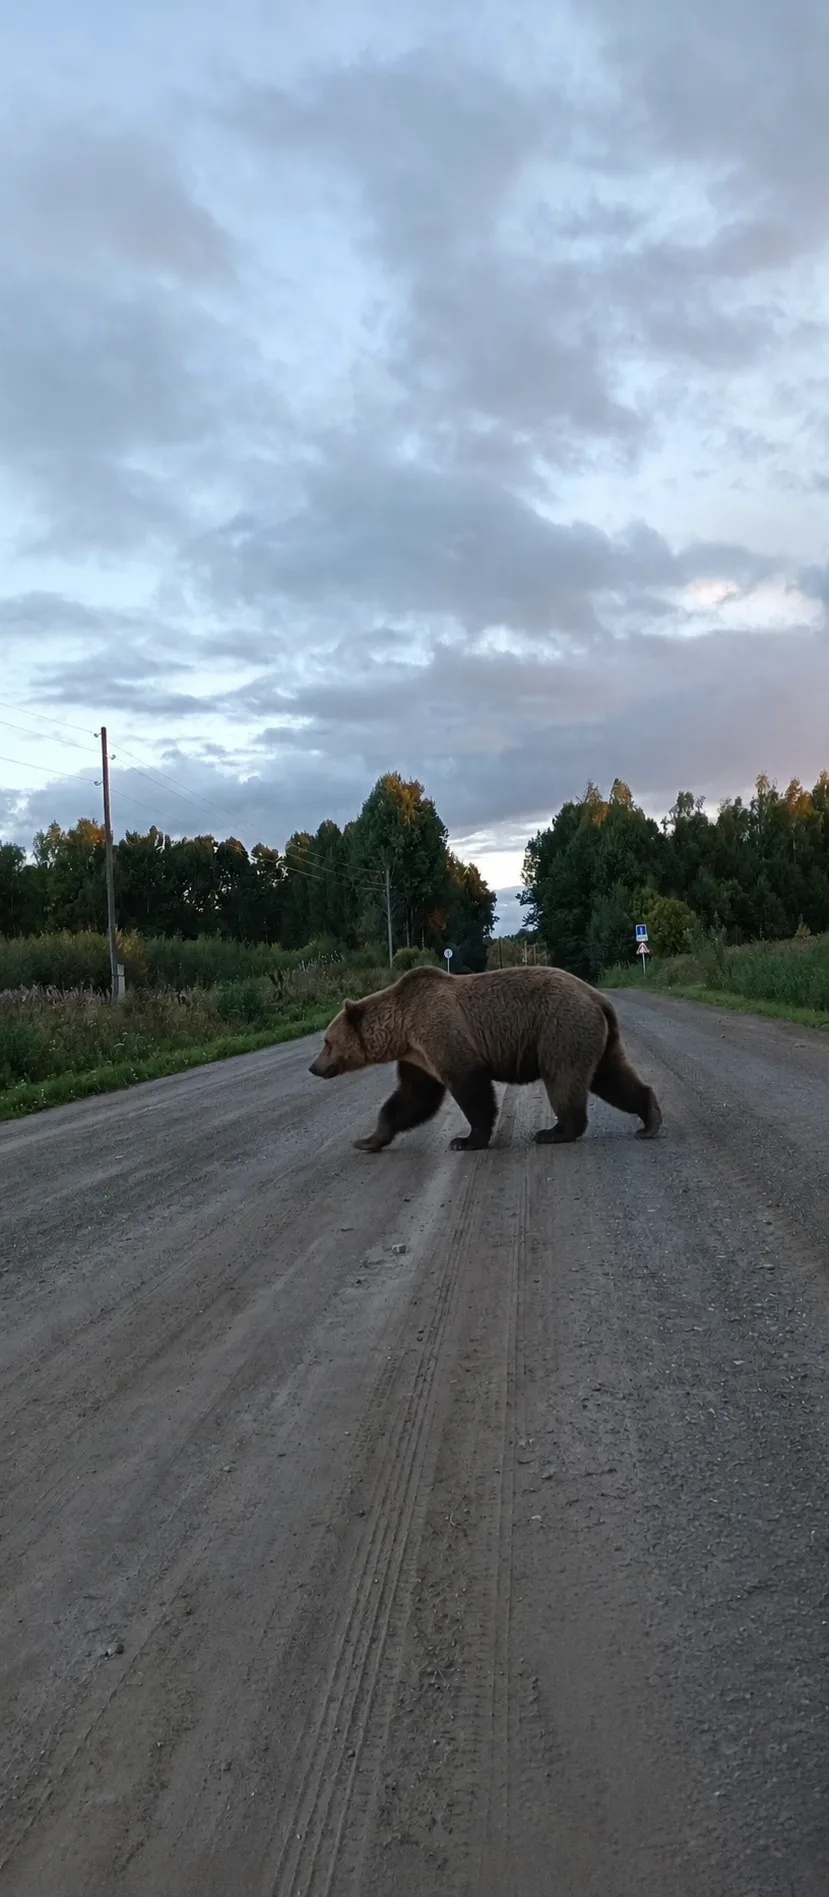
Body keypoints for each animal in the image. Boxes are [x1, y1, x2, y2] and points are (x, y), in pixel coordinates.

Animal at [308, 964, 662, 1153]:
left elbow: (471, 1089)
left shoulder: (443, 1033)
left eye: (326, 1041)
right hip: (594, 1036)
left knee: (563, 1078)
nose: (313, 1067)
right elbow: (412, 1098)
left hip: (559, 1028)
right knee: (612, 1076)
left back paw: (554, 1132)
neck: (403, 1031)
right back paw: (649, 1121)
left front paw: (465, 1140)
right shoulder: (418, 1059)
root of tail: (599, 998)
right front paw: (368, 1140)